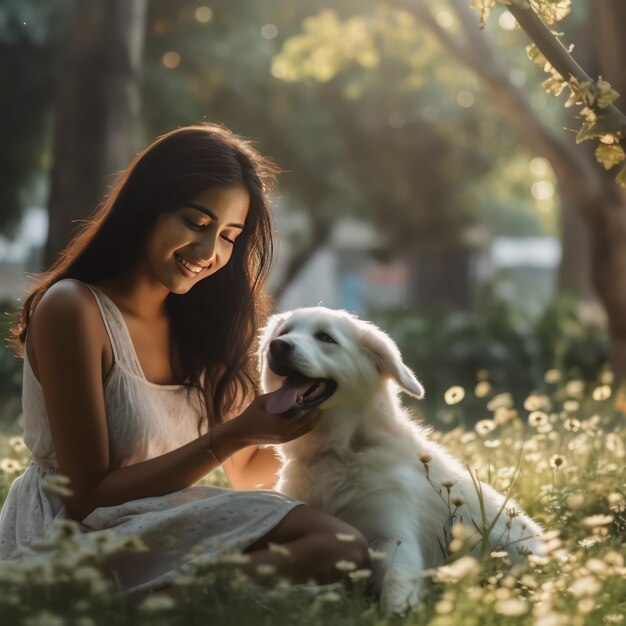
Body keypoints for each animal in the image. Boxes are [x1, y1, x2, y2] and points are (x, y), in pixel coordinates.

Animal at [256, 304, 544, 612]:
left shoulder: (393, 535)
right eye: (285, 332)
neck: (339, 450)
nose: (278, 346)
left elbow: (396, 586)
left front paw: (396, 613)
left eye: (325, 337)